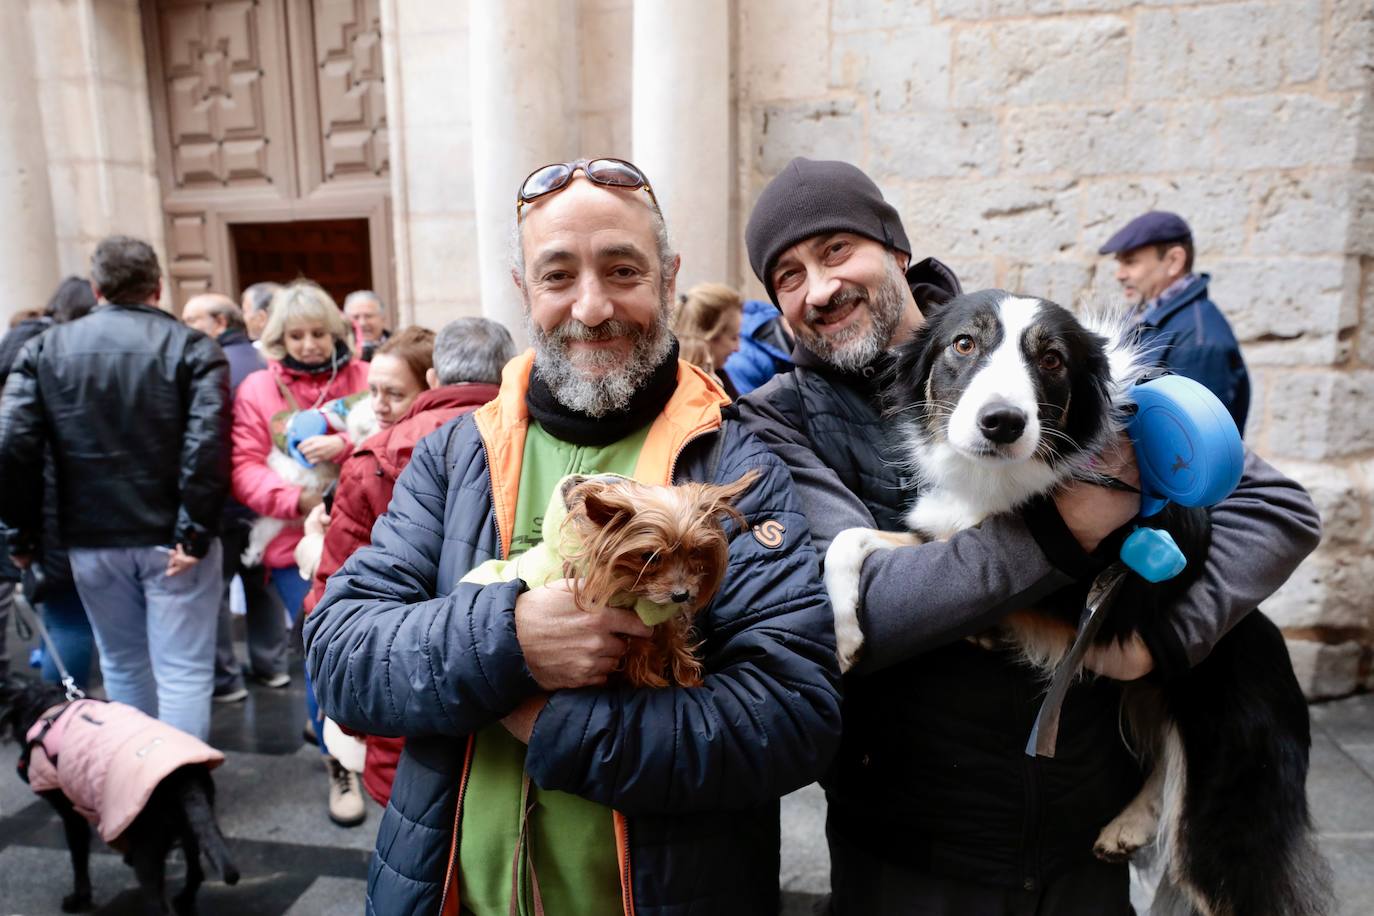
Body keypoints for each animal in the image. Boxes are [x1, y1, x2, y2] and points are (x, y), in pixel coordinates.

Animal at [0, 678, 240, 911]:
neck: (44, 707)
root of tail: (183, 778)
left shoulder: (72, 817)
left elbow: (79, 860)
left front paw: (79, 898)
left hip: (149, 850)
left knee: (160, 903)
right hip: (191, 829)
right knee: (196, 870)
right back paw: (184, 899)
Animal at [566, 472, 769, 686]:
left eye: (694, 551)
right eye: (650, 556)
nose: (681, 595)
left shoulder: (667, 619)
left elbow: (673, 641)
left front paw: (688, 679)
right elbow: (641, 660)